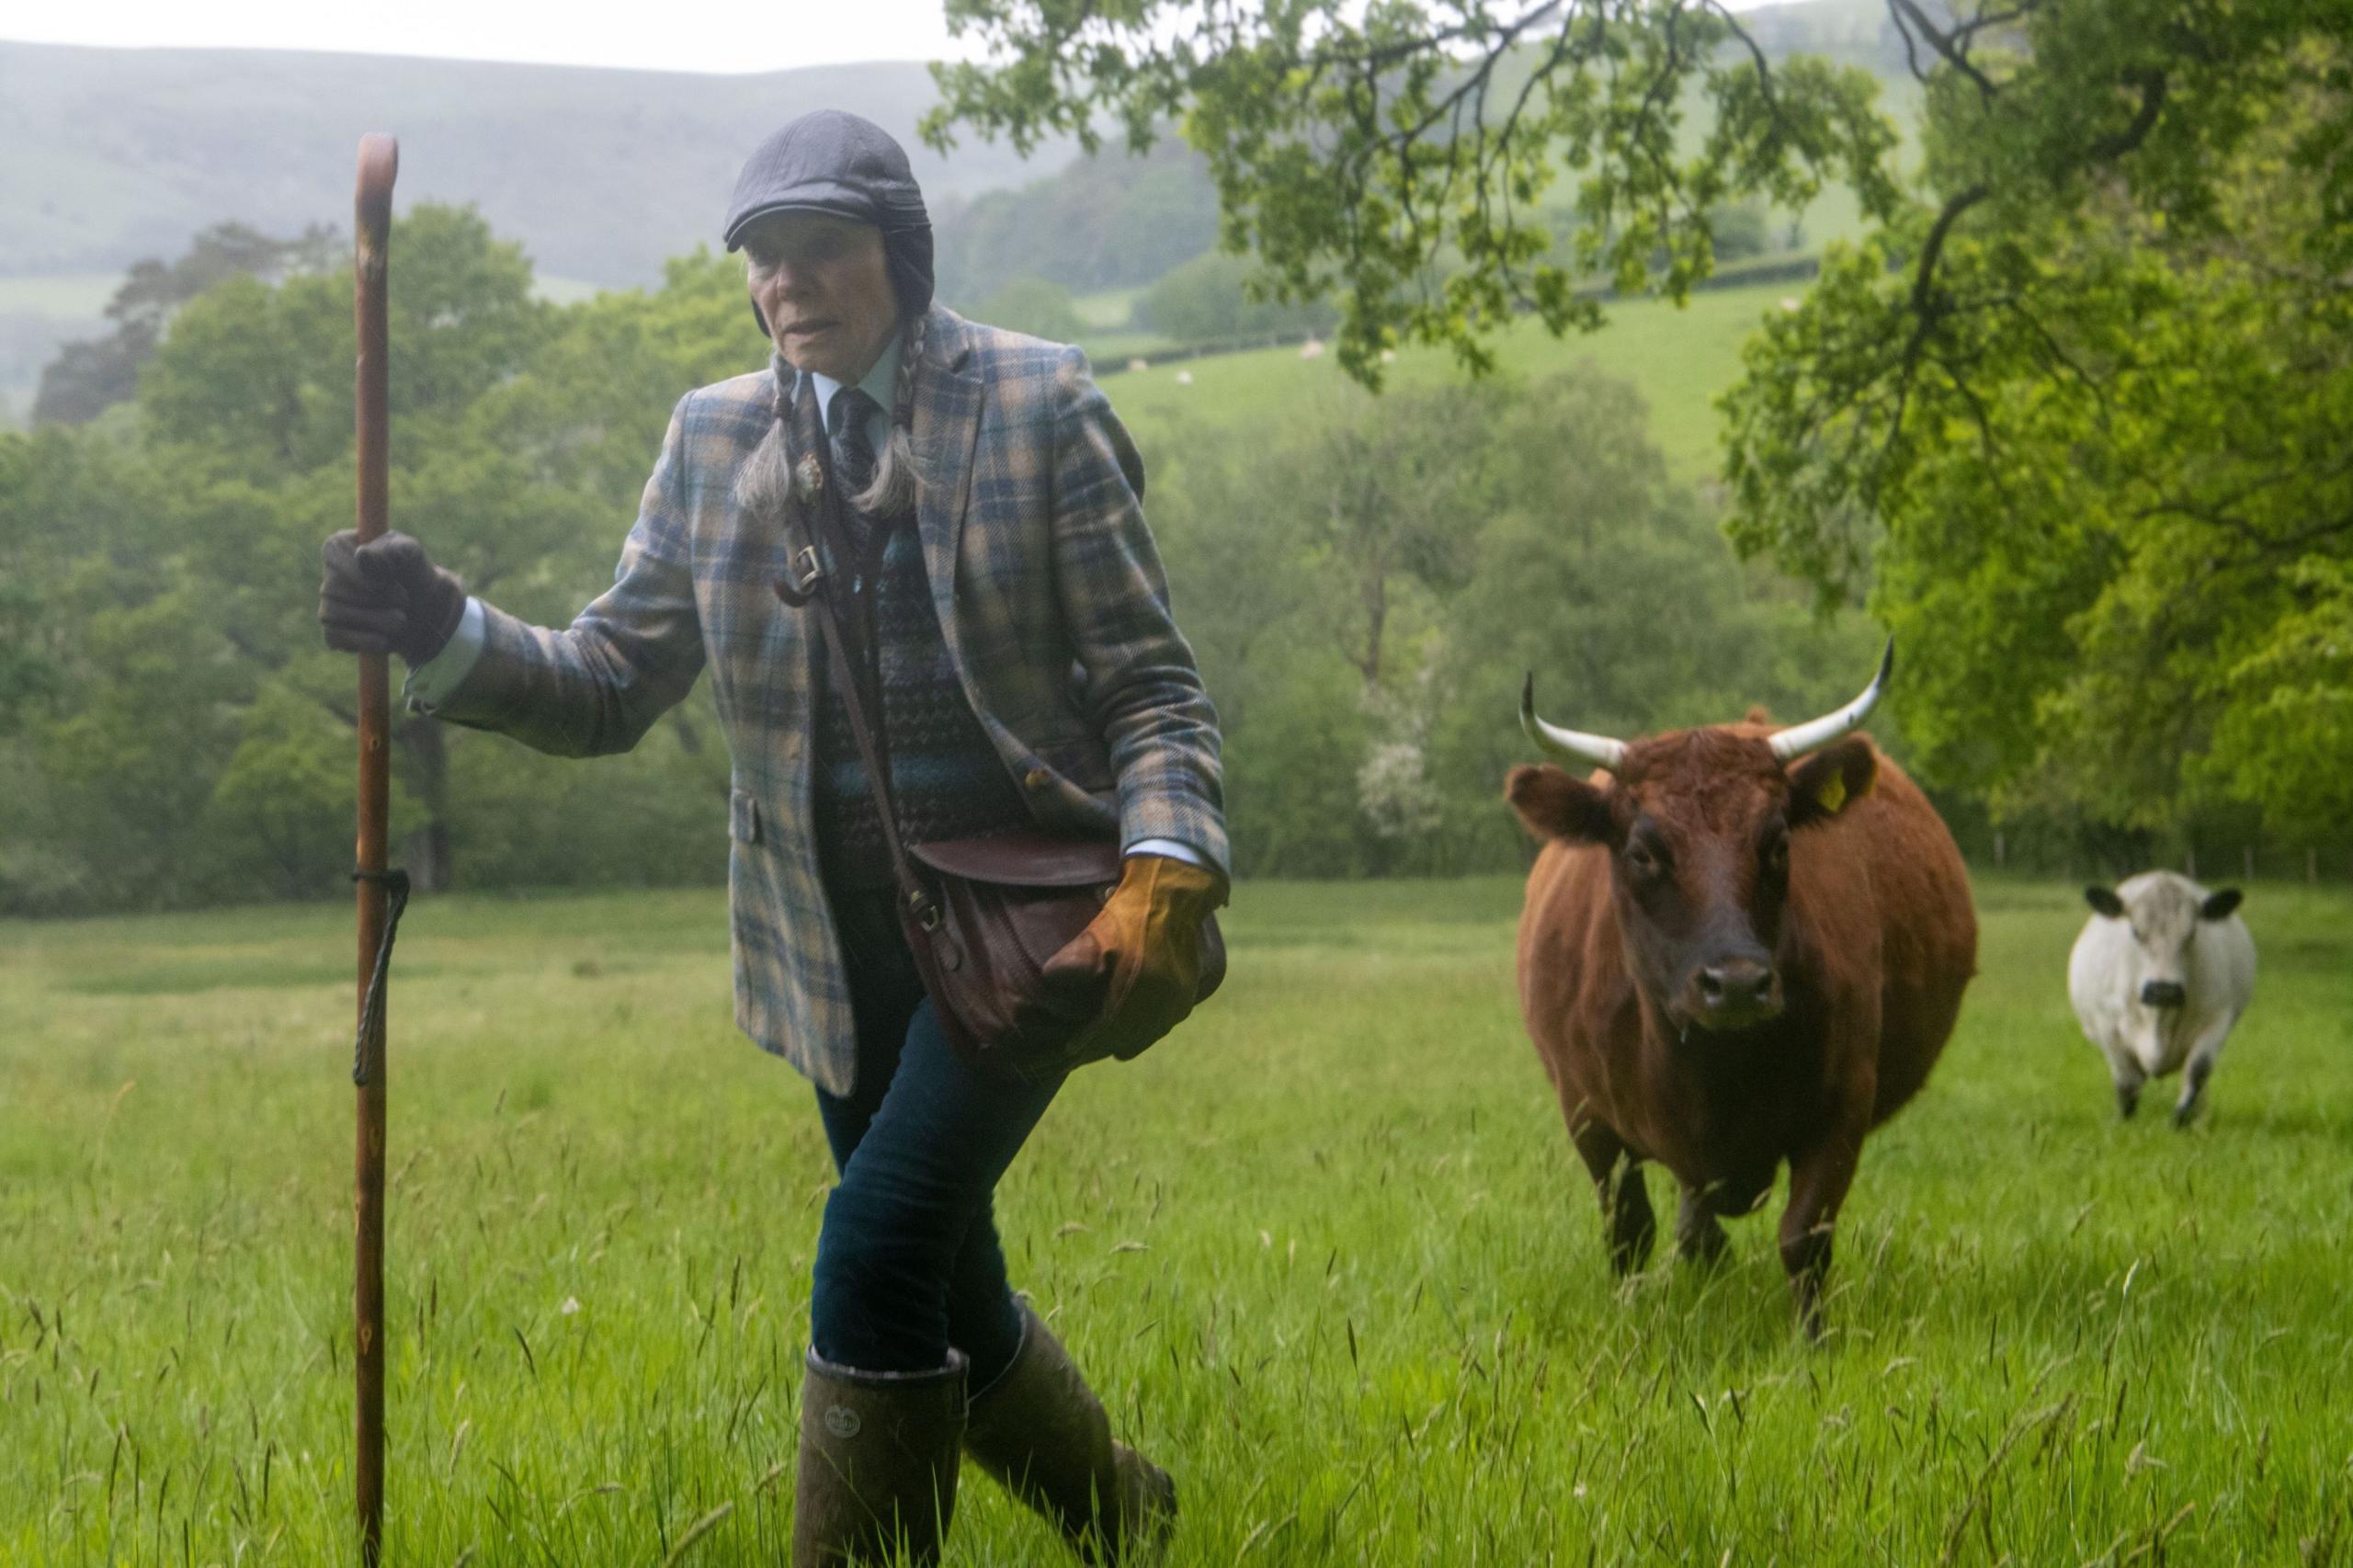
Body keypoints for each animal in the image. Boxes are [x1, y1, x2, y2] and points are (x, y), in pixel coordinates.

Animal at [1506, 644, 1967, 1327]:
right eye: (1643, 852)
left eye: (1778, 842)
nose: (1740, 983)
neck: (1712, 1071)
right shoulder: (1588, 1115)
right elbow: (1629, 1231)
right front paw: (1631, 1319)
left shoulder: (1843, 1104)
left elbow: (1803, 1236)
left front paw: (1813, 1340)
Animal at [2070, 870, 2249, 1116]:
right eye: (2136, 932)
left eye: (2191, 934)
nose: (2163, 990)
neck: (2157, 1017)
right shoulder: (2106, 1024)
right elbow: (2127, 1081)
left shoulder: (2218, 1018)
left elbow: (2198, 1070)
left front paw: (2181, 1119)